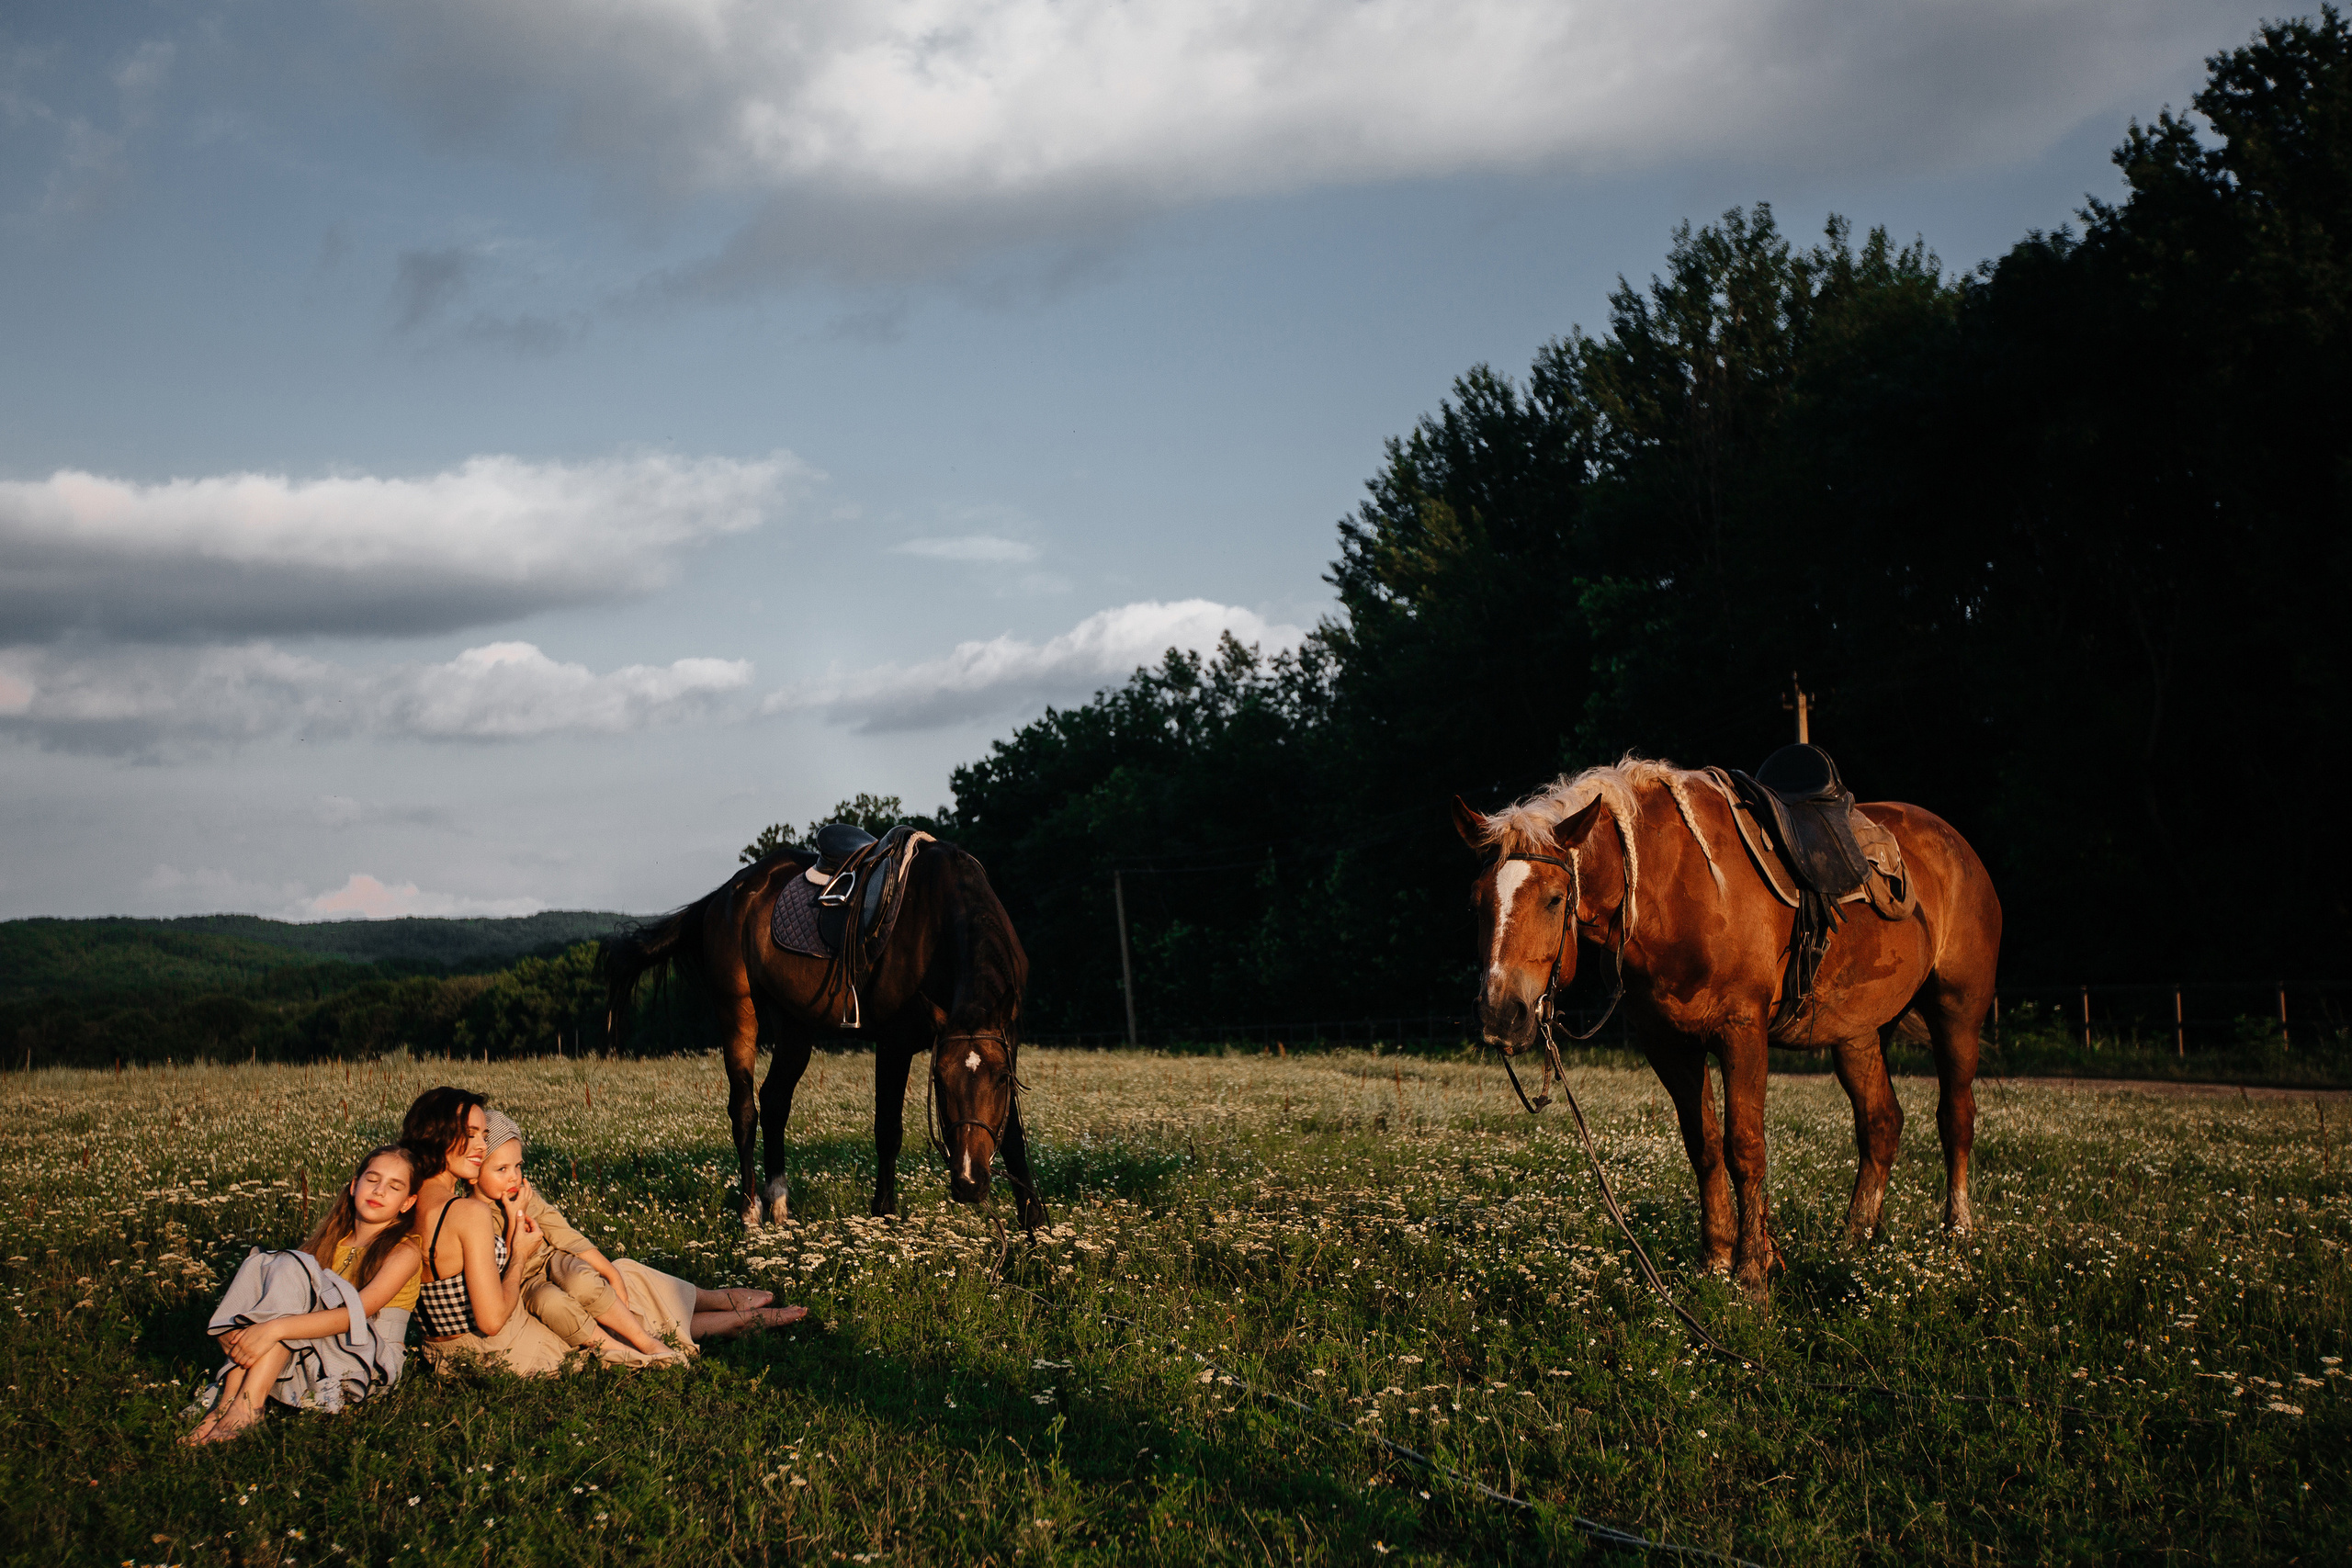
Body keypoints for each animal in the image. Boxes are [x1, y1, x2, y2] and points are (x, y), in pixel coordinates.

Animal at [601, 836, 1048, 1234]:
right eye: (937, 1081)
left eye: (1001, 1080)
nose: (969, 1183)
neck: (938, 919)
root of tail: (726, 894)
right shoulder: (894, 1043)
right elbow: (888, 1130)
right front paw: (884, 1216)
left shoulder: (1006, 1042)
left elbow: (1013, 1136)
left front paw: (1036, 1226)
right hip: (738, 1011)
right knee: (745, 1109)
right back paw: (749, 1213)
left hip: (795, 1026)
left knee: (774, 1101)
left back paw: (779, 1205)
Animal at [1454, 757, 2001, 1297]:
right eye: (1476, 902)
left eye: (1553, 899)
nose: (1501, 1015)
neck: (1679, 889)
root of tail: (1957, 847)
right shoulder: (1671, 1045)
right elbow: (1704, 1146)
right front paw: (1716, 1259)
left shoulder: (1743, 1032)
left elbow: (1745, 1147)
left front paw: (1753, 1272)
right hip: (1857, 1033)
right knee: (1881, 1123)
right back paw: (1855, 1237)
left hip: (1957, 1012)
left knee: (1956, 1116)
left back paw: (1958, 1232)